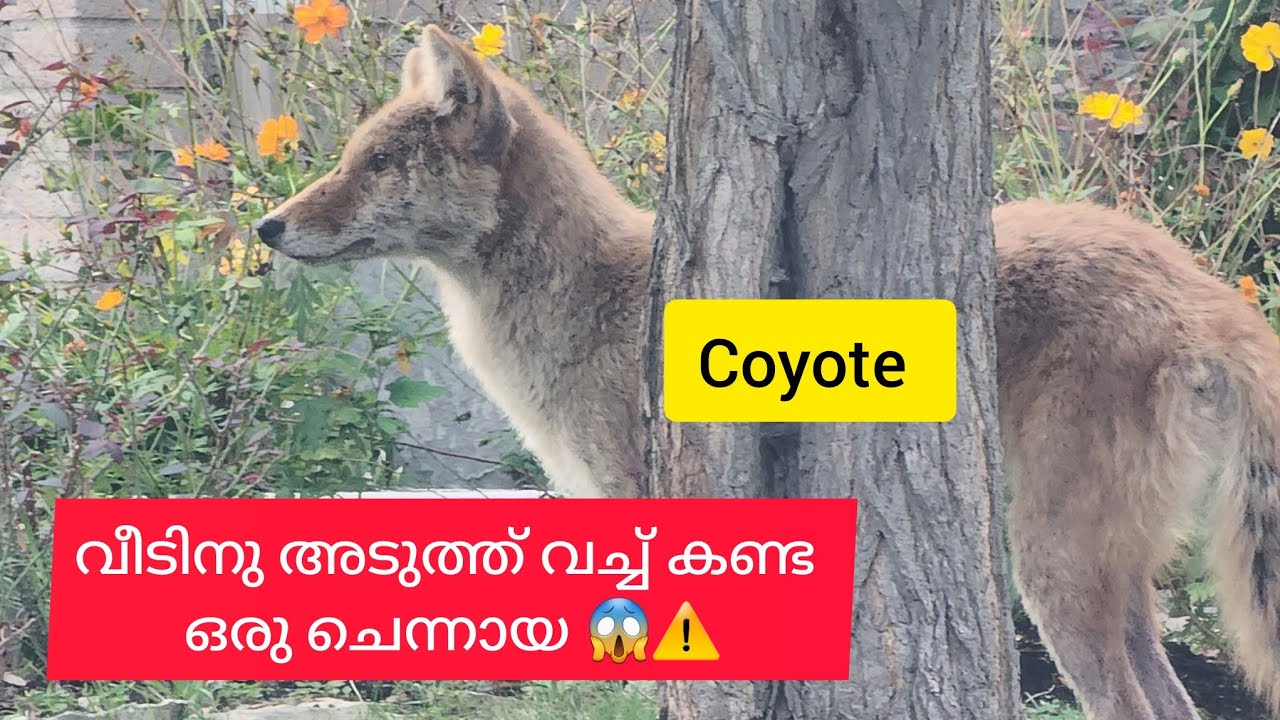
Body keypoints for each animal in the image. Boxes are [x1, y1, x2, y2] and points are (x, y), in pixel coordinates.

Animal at [255, 24, 1280, 720]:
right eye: (350, 157)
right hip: (1107, 577)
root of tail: (1203, 288)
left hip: (1052, 571)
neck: (591, 295)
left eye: (379, 163)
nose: (266, 227)